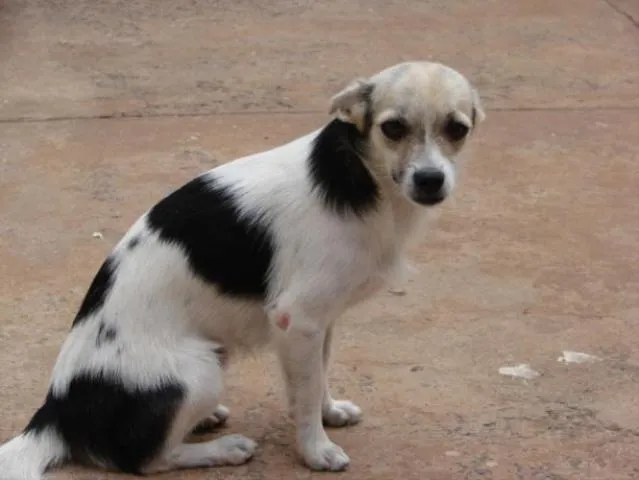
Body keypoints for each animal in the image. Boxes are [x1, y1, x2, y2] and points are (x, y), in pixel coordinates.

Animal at [0, 62, 484, 478]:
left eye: (458, 130)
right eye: (392, 128)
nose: (430, 180)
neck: (364, 179)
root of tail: (55, 414)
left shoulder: (319, 323)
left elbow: (319, 376)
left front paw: (329, 412)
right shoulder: (298, 319)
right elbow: (306, 392)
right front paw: (316, 449)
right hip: (200, 369)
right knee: (146, 459)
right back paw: (223, 449)